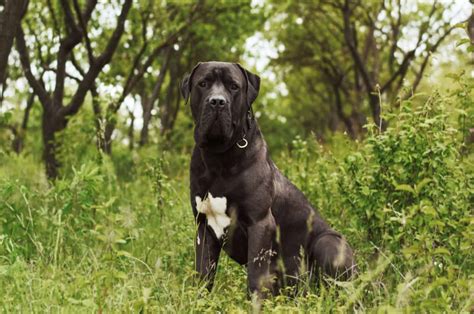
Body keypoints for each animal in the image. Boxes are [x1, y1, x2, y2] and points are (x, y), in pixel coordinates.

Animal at [181, 60, 356, 296]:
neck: (219, 157)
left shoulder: (260, 223)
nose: (217, 101)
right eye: (203, 83)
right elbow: (203, 273)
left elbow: (255, 277)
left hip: (328, 242)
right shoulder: (203, 226)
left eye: (234, 86)